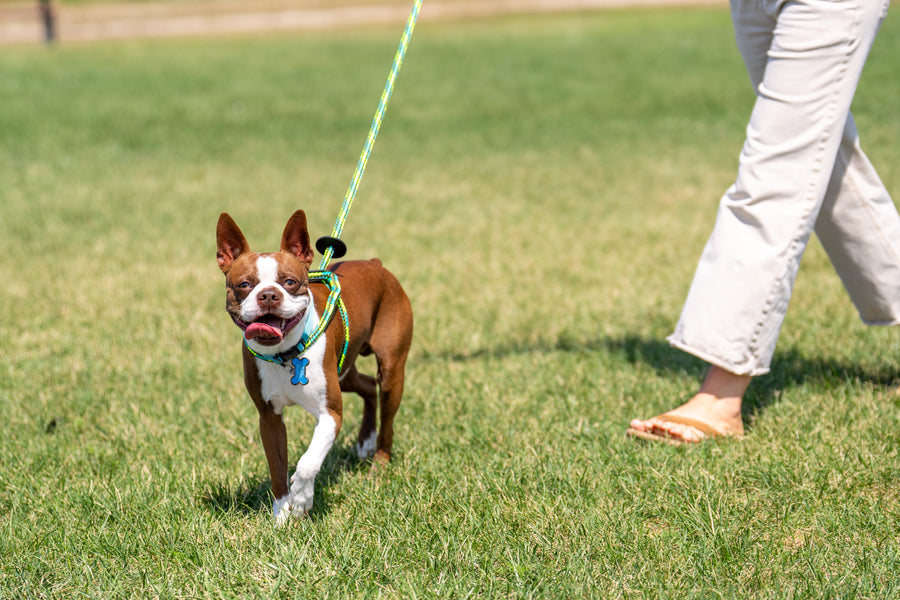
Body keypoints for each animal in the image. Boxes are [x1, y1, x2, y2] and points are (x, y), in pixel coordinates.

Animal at [216, 211, 414, 524]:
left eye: (290, 282)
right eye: (245, 285)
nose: (269, 295)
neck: (285, 355)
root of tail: (375, 264)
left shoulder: (330, 414)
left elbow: (308, 461)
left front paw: (301, 499)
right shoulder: (269, 419)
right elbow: (277, 470)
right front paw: (282, 517)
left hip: (391, 370)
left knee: (387, 418)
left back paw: (379, 462)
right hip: (344, 369)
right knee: (367, 385)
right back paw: (365, 440)